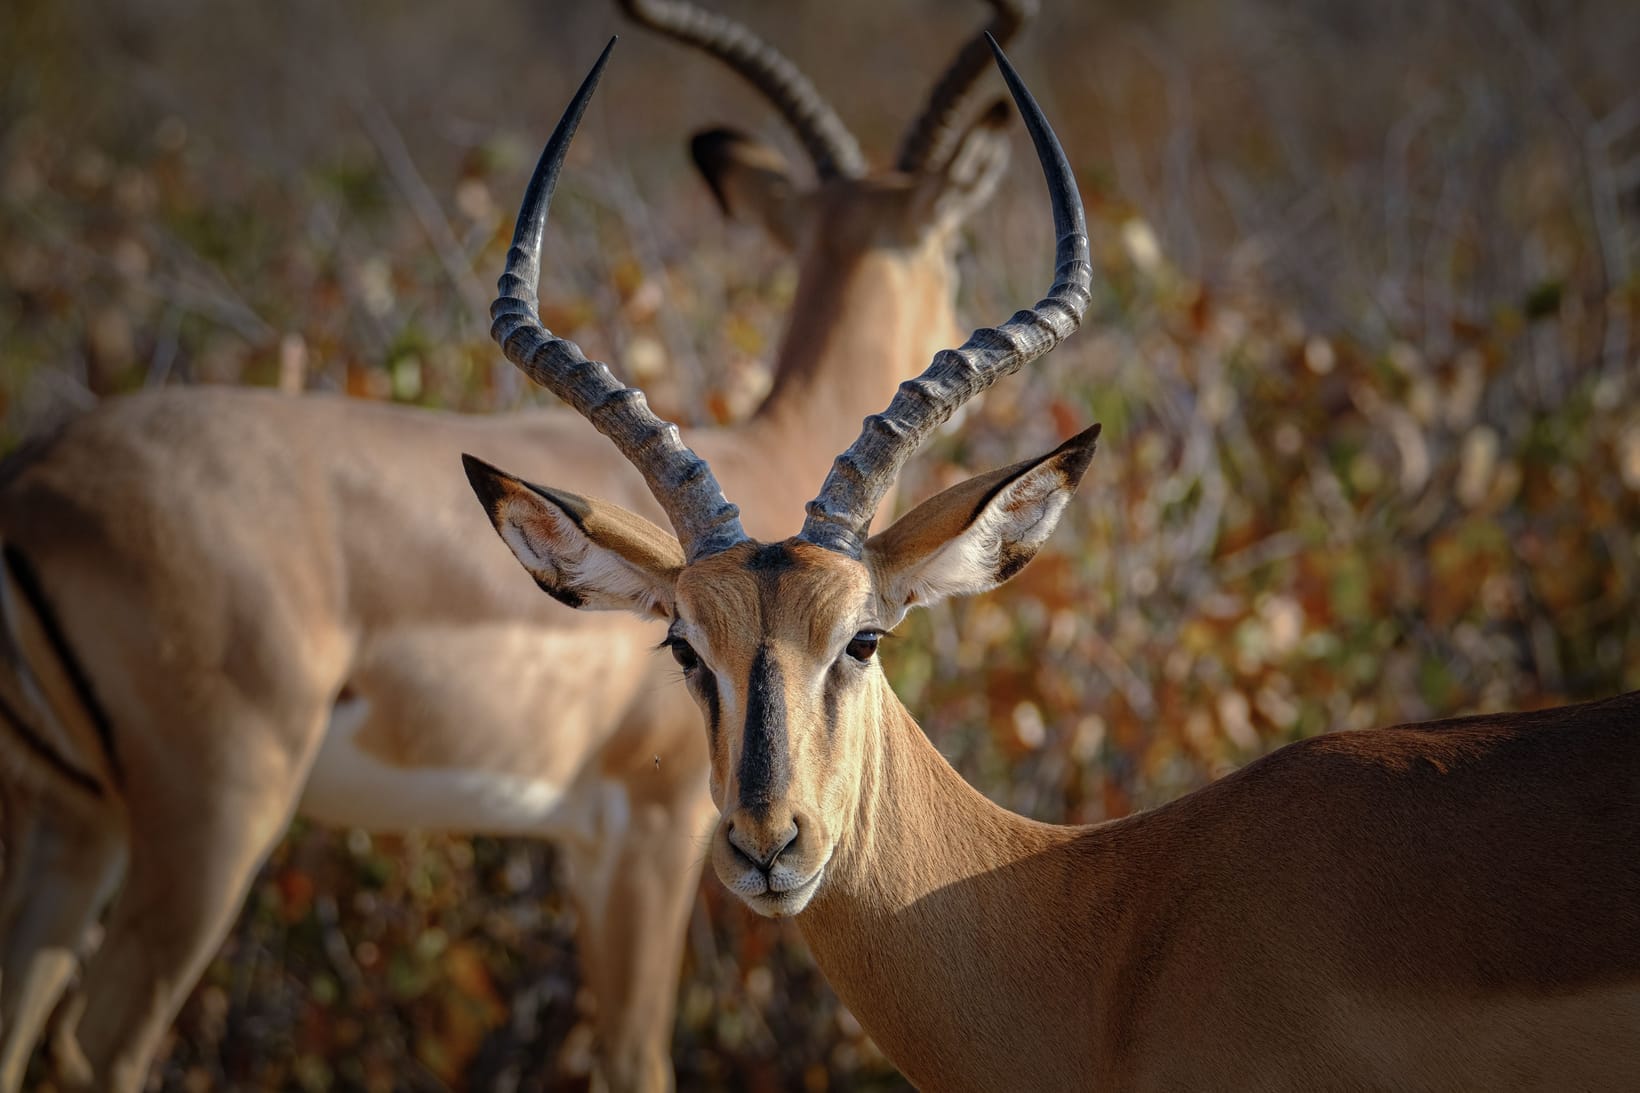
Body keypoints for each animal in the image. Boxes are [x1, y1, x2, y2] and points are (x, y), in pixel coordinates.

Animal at [0, 3, 1038, 1090]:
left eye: (860, 639)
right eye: (957, 245)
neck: (770, 450)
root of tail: (31, 481)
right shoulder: (652, 828)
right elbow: (637, 1056)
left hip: (71, 819)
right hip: (211, 821)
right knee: (102, 1040)